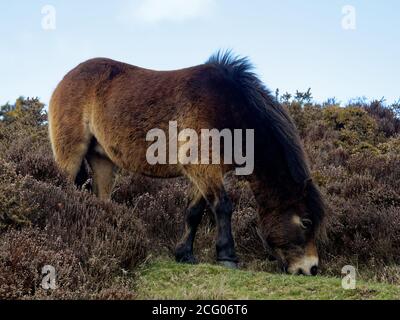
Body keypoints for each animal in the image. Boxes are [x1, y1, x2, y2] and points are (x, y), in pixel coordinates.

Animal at [49, 52, 324, 276]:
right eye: (306, 222)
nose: (311, 268)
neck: (229, 110)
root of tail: (65, 80)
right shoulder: (202, 166)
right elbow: (223, 206)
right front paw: (227, 256)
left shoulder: (205, 171)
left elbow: (194, 211)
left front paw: (184, 254)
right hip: (70, 154)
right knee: (62, 190)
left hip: (102, 159)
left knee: (102, 200)